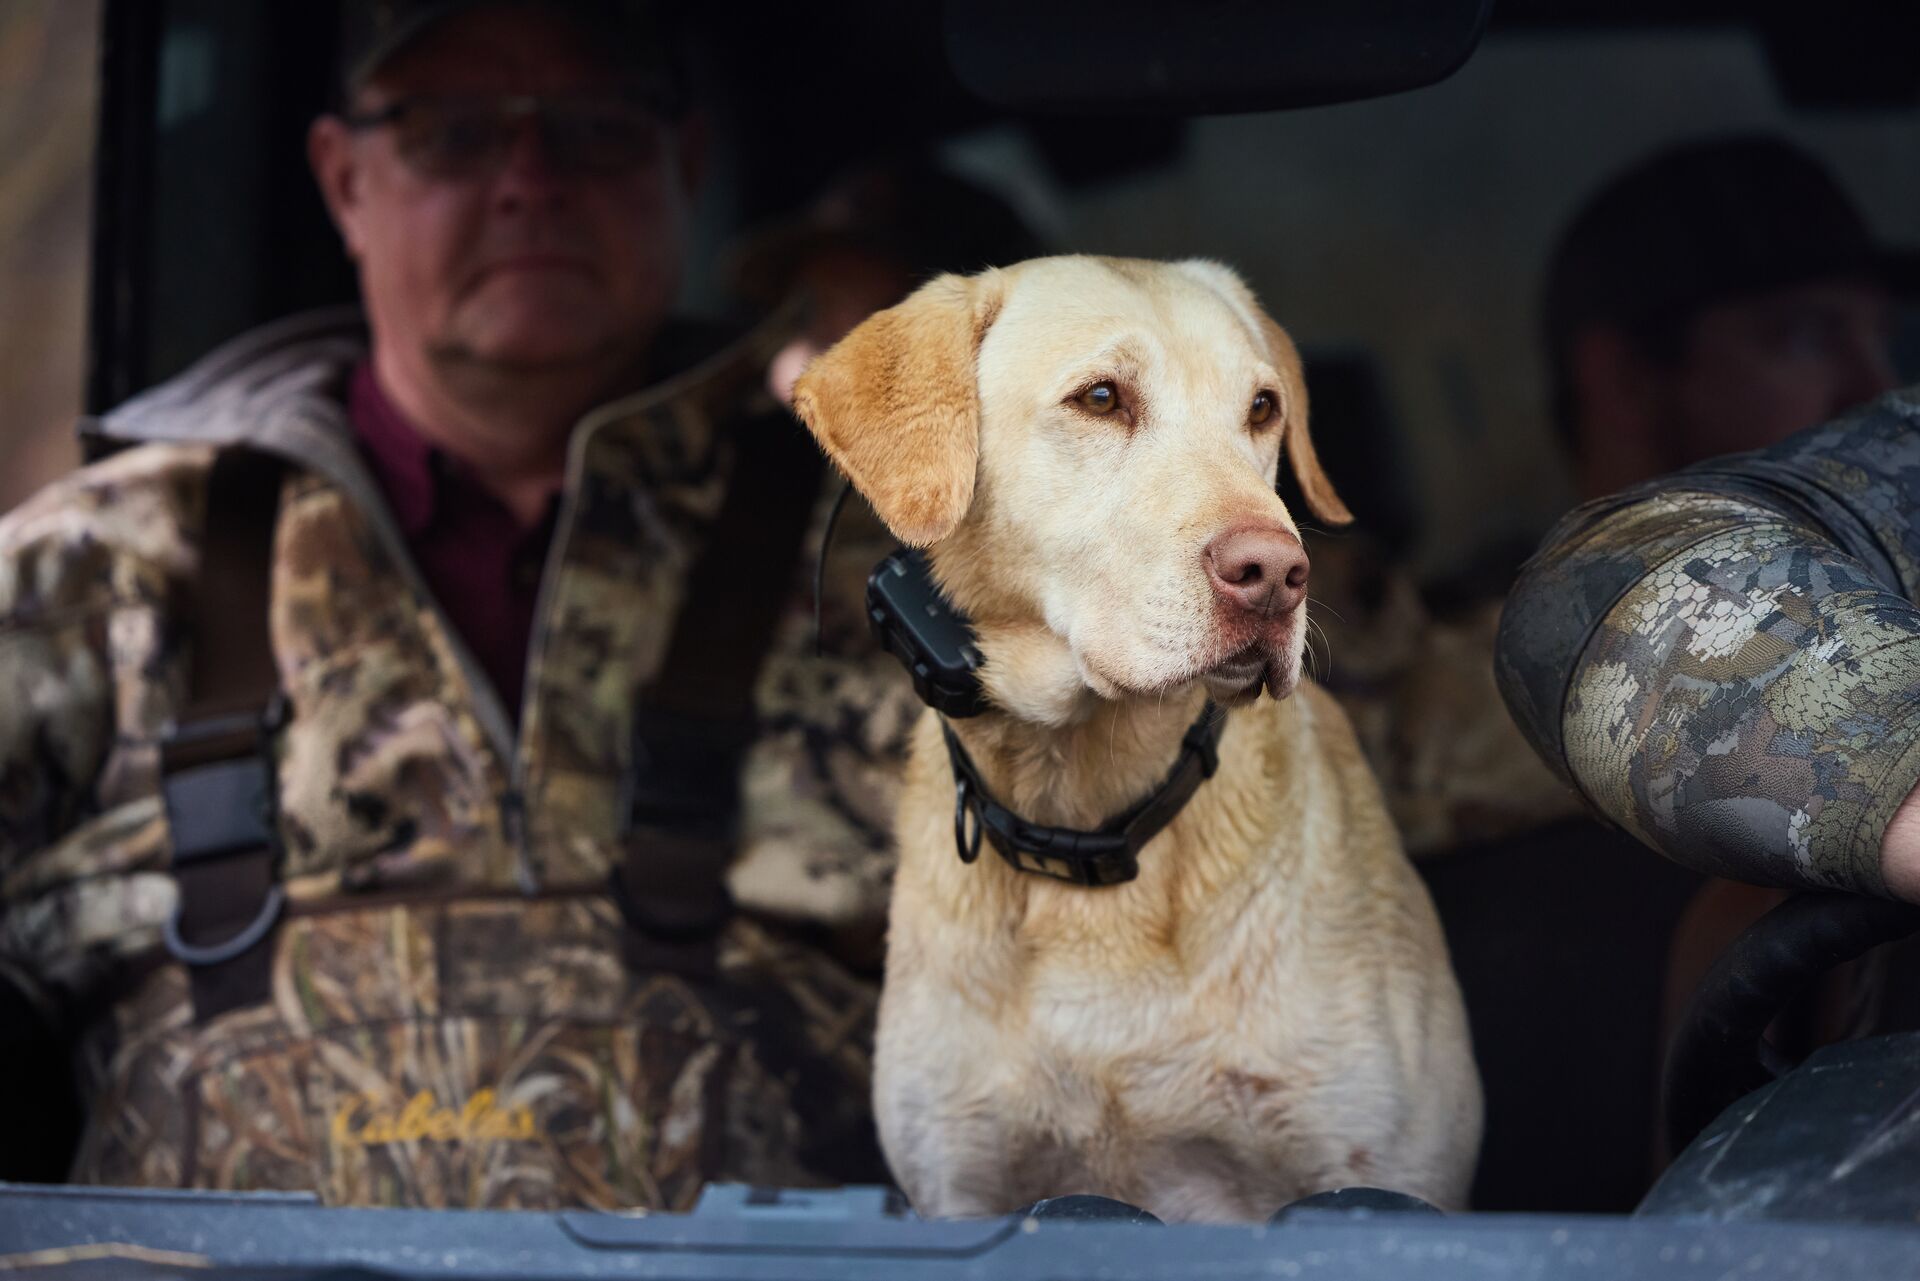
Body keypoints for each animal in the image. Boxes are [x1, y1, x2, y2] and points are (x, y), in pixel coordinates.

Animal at [787, 257, 1474, 1221]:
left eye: (1262, 408)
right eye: (1102, 398)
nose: (1277, 573)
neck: (1089, 819)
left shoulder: (1386, 1174)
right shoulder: (960, 1184)